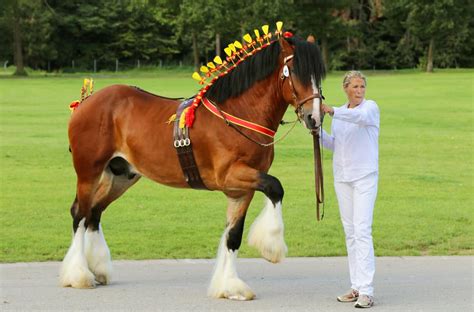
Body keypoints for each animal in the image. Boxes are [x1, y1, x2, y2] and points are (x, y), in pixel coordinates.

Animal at [60, 34, 326, 300]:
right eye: (296, 71)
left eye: (319, 75)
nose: (315, 118)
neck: (237, 114)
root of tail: (86, 102)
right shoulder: (230, 176)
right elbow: (275, 187)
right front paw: (271, 246)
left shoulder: (242, 189)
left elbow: (233, 236)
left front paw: (229, 286)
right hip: (89, 172)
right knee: (80, 214)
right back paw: (78, 275)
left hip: (121, 175)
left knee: (94, 213)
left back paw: (98, 269)